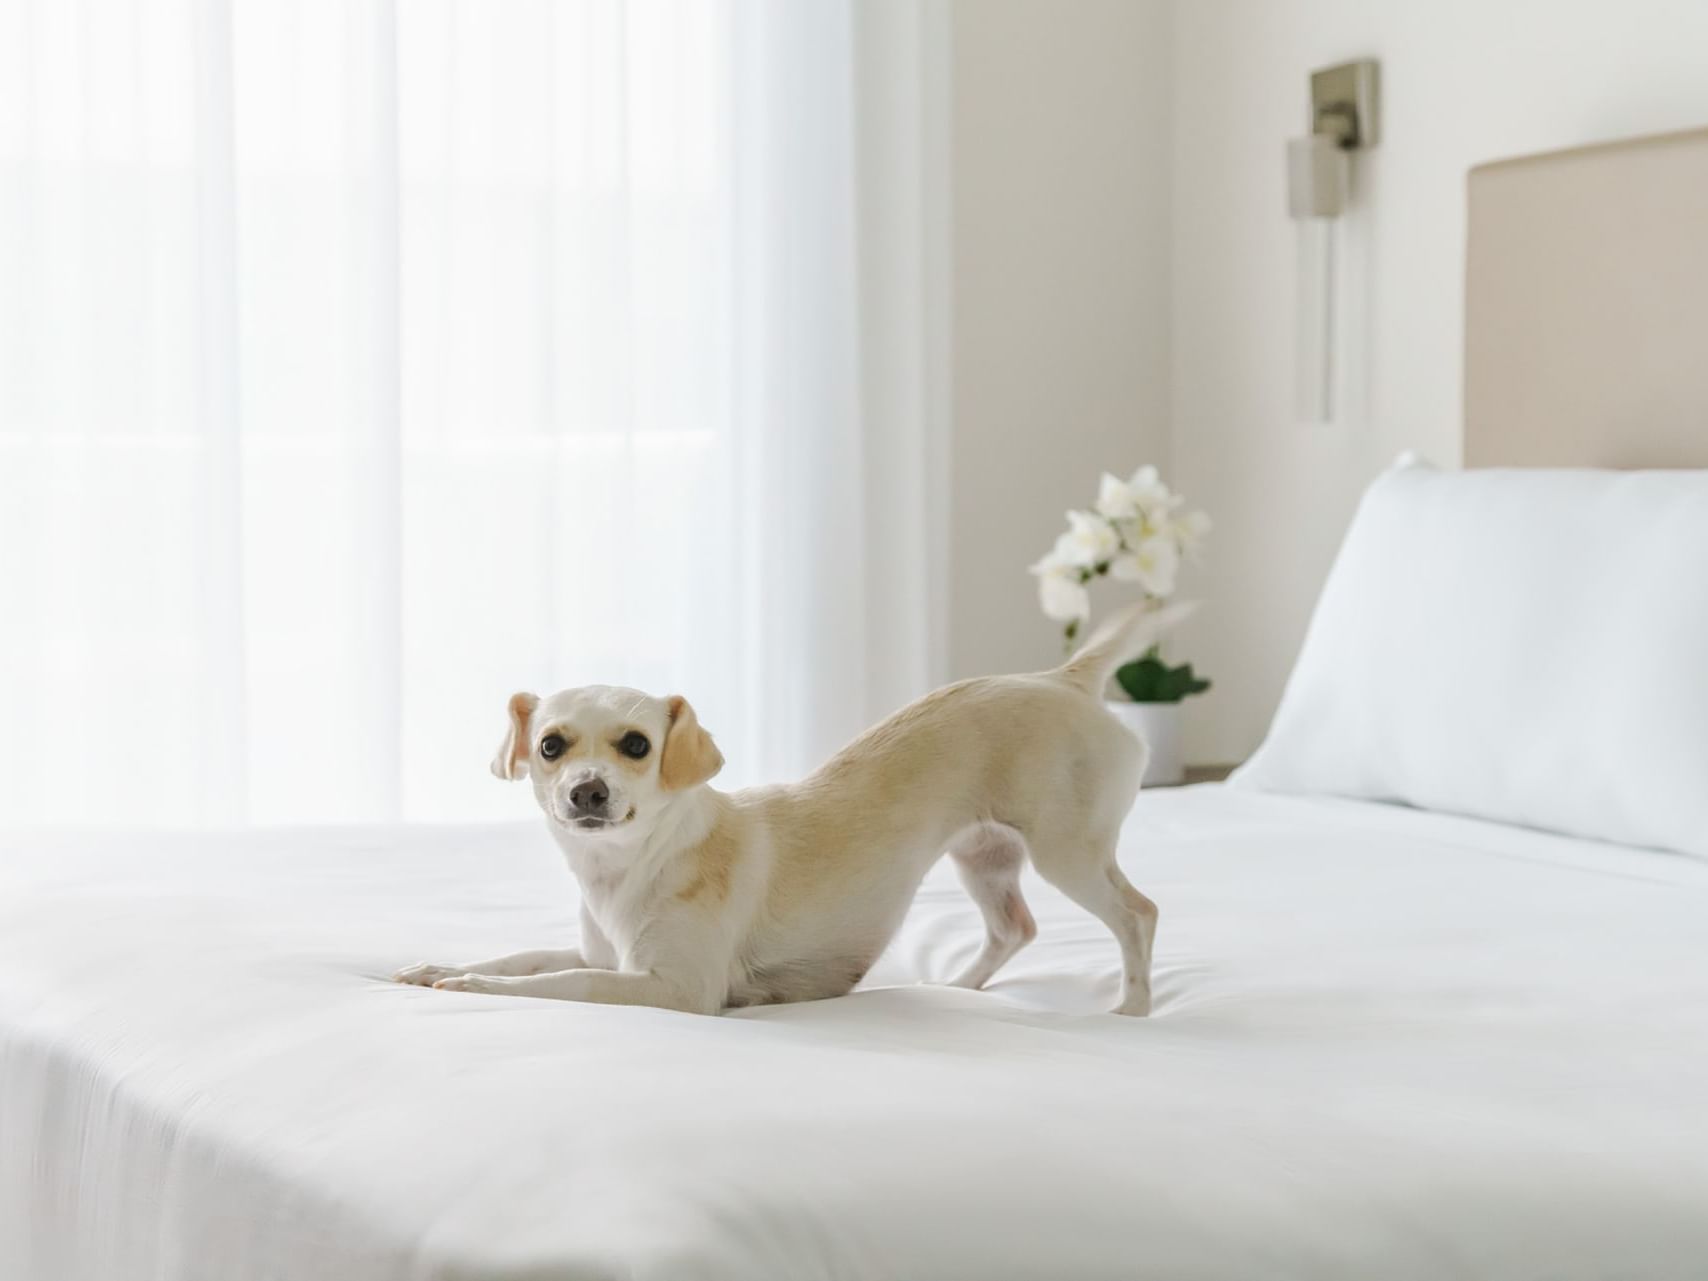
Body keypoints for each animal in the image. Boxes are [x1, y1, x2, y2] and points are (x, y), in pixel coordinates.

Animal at [397, 604, 1195, 1024]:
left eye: (637, 745)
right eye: (551, 746)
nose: (586, 792)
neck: (622, 870)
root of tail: (1064, 678)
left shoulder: (675, 990)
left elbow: (559, 984)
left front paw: (475, 988)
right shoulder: (606, 955)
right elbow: (531, 956)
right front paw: (447, 964)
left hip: (1067, 850)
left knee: (1139, 913)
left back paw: (1133, 1008)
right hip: (984, 856)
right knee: (1015, 926)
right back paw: (957, 988)